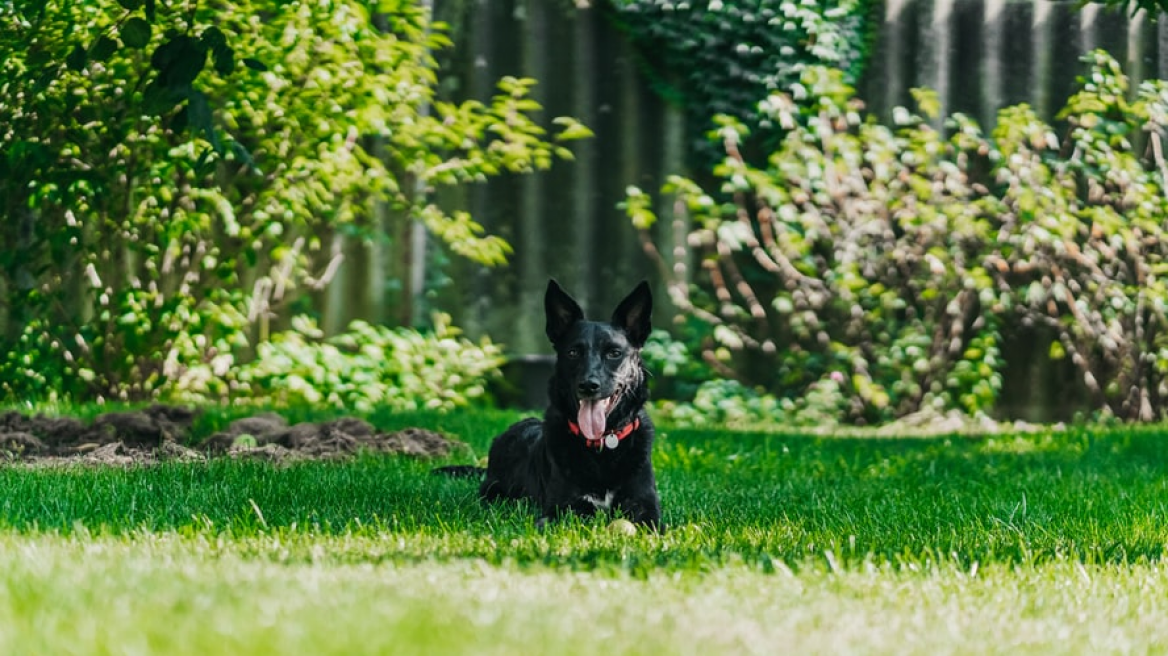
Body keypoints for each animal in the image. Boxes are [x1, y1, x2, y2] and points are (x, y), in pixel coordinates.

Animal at [436, 277, 663, 527]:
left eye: (614, 353)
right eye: (573, 352)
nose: (588, 385)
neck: (602, 445)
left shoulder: (645, 504)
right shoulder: (563, 507)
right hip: (494, 491)